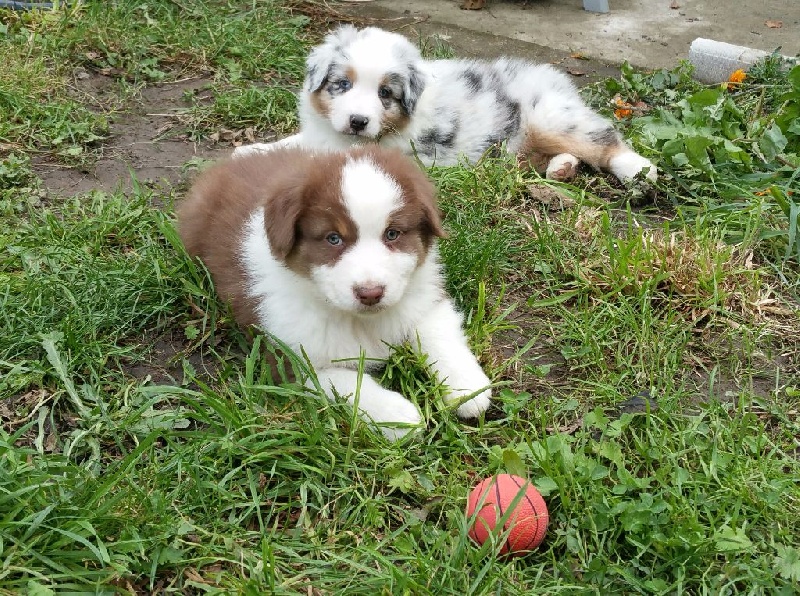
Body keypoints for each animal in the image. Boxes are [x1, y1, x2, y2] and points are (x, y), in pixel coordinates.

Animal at [180, 147, 490, 440]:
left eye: (392, 234)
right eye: (333, 238)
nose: (370, 293)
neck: (358, 319)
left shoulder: (424, 299)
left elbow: (439, 335)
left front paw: (468, 389)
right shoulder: (294, 359)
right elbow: (349, 384)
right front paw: (397, 416)